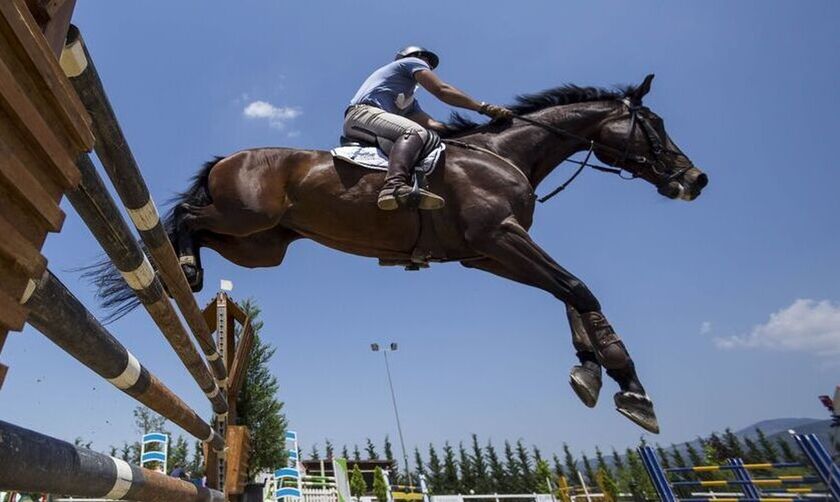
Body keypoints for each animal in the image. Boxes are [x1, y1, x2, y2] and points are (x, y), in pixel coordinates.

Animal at [90, 73, 708, 432]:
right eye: (654, 125)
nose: (695, 179)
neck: (506, 154)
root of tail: (228, 157)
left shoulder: (488, 253)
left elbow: (567, 295)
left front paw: (589, 372)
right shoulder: (500, 238)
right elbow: (579, 287)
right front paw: (631, 388)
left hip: (261, 244)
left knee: (202, 230)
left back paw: (187, 270)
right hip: (247, 217)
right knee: (187, 219)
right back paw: (185, 268)